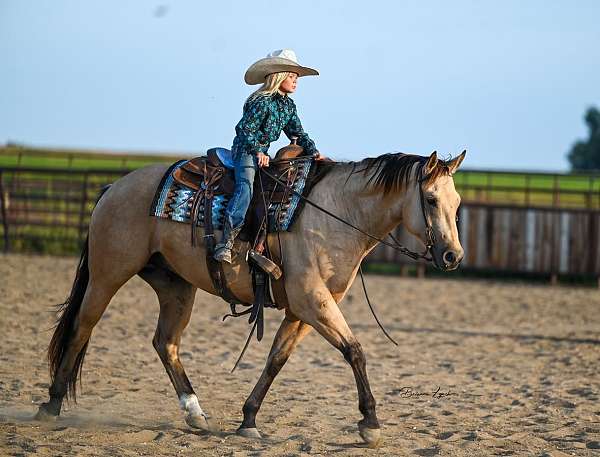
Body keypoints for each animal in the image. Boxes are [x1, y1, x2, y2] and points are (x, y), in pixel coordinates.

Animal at [36, 150, 468, 446]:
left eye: (458, 203)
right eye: (431, 199)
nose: (453, 256)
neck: (336, 215)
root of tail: (114, 187)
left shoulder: (302, 310)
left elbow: (276, 359)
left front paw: (248, 419)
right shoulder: (313, 302)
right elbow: (354, 351)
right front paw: (370, 424)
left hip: (175, 286)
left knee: (166, 343)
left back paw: (195, 413)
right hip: (107, 275)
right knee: (81, 328)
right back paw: (52, 405)